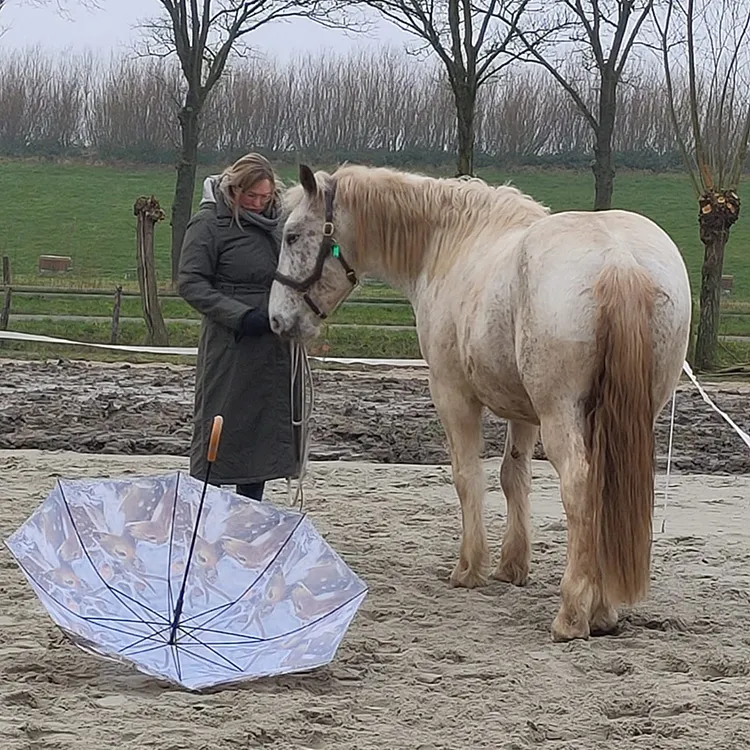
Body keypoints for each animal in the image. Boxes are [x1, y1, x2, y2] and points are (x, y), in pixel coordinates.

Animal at [269, 163, 692, 642]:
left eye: (292, 237)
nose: (277, 320)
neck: (452, 241)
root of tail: (619, 260)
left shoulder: (453, 396)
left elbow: (468, 476)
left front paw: (470, 568)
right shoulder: (523, 413)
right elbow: (513, 477)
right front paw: (512, 566)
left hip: (561, 413)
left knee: (580, 486)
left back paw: (571, 615)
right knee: (606, 487)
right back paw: (602, 610)